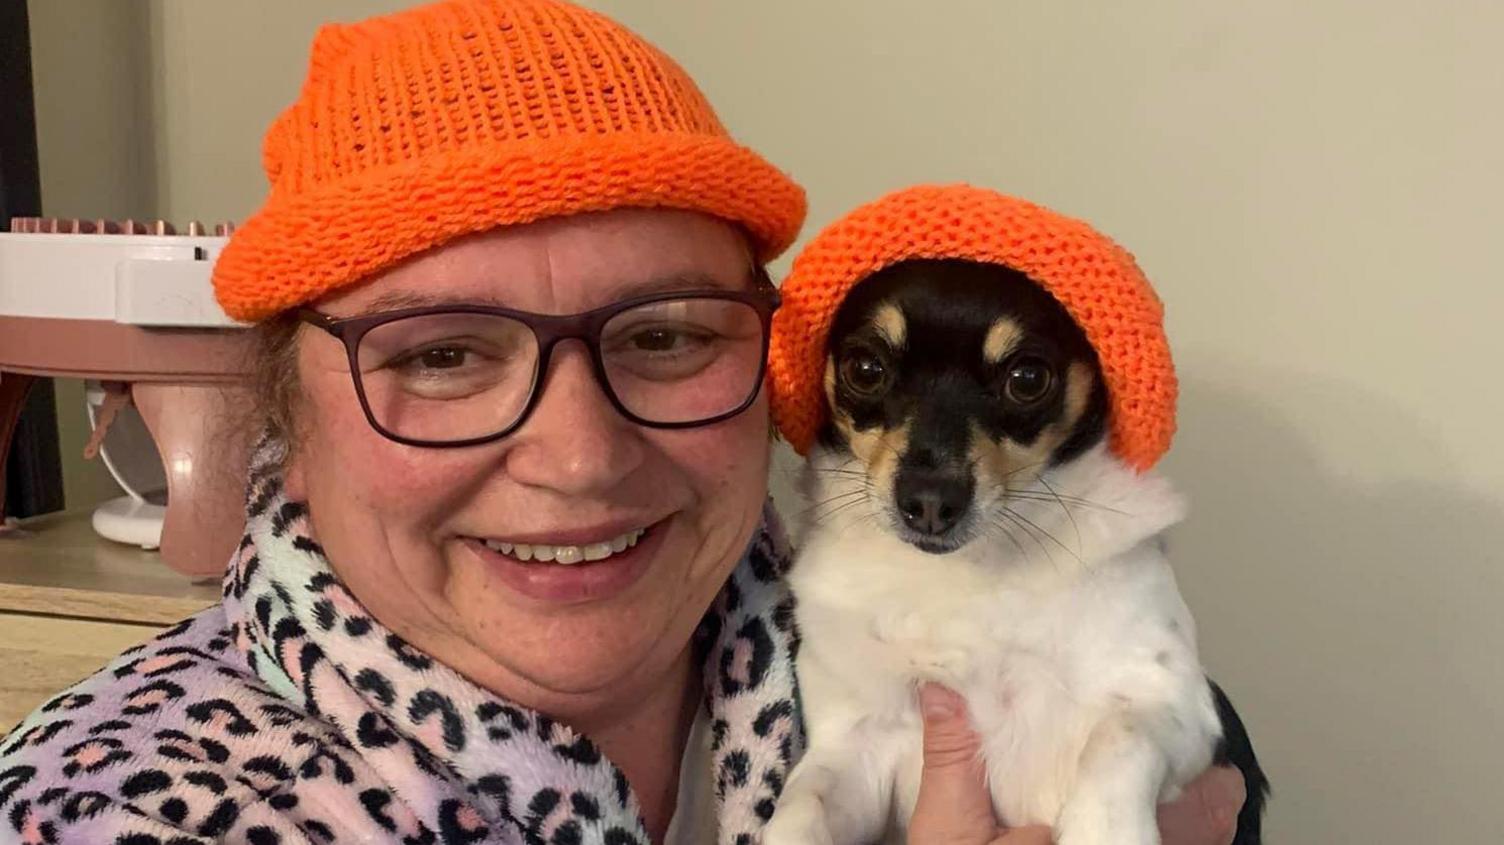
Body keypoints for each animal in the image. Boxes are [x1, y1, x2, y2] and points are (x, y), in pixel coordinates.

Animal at [764, 258, 1269, 841]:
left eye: (1028, 379)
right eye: (865, 369)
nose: (930, 501)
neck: (969, 569)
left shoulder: (1178, 702)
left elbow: (1119, 733)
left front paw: (1104, 830)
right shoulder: (853, 742)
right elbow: (801, 805)